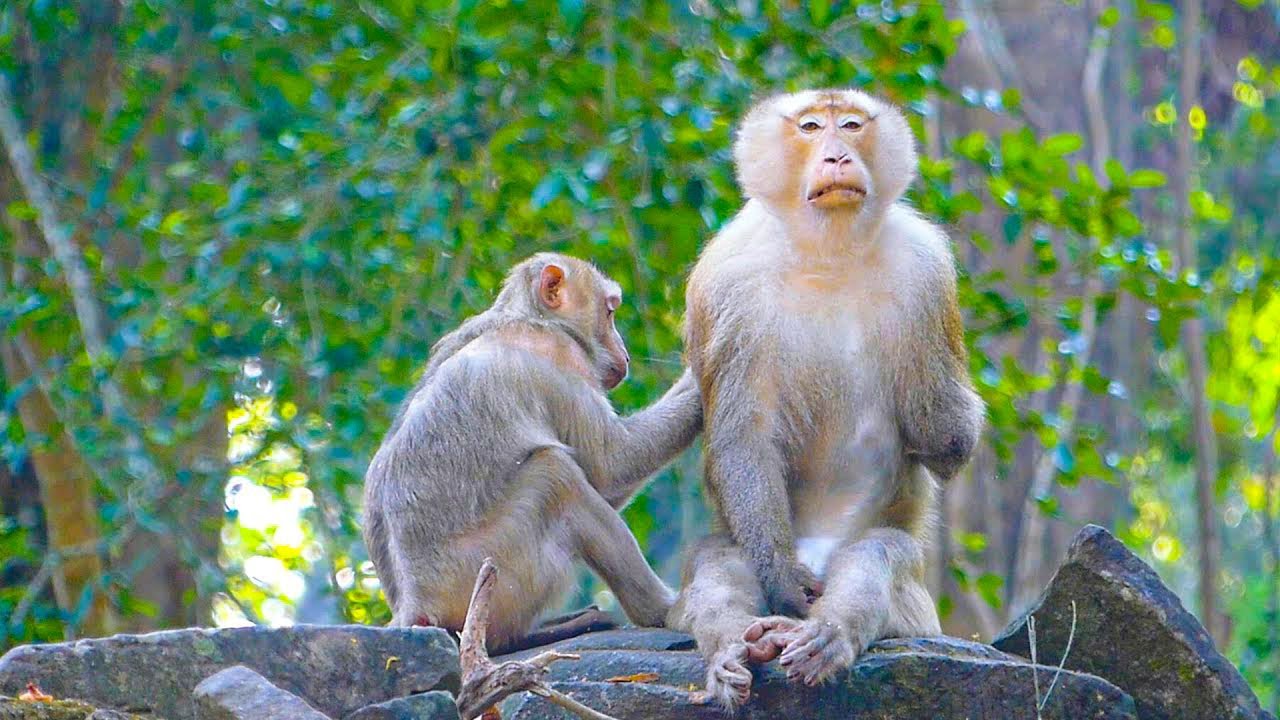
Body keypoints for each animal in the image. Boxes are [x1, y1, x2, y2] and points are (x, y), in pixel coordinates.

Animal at [363, 253, 702, 652]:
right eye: (610, 312)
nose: (626, 354)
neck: (528, 316)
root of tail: (412, 605)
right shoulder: (561, 353)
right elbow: (612, 465)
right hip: (488, 572)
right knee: (557, 477)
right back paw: (660, 611)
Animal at [667, 89, 984, 709]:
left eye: (853, 125)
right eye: (812, 127)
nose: (837, 155)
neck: (828, 251)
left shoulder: (927, 272)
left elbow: (950, 443)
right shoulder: (728, 282)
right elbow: (742, 438)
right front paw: (781, 584)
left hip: (910, 598)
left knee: (878, 554)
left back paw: (825, 636)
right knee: (721, 560)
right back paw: (739, 649)